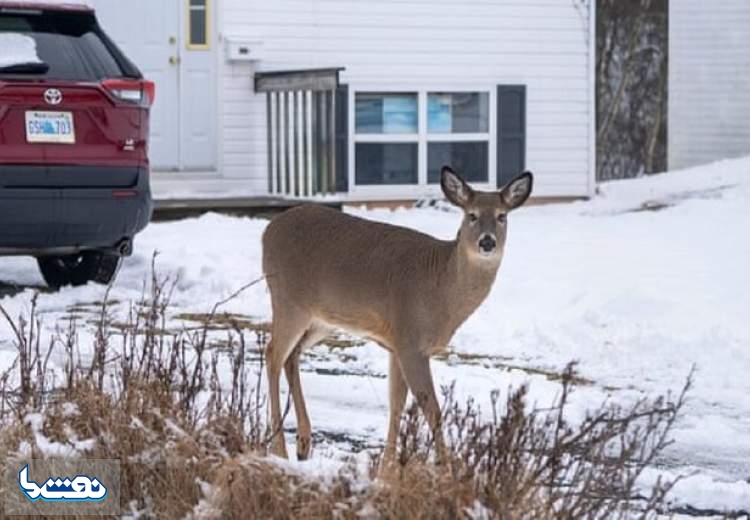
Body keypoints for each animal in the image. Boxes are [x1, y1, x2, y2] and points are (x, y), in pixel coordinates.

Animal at [264, 166, 536, 468]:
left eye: (502, 216)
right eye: (471, 215)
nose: (487, 242)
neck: (441, 289)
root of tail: (268, 230)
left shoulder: (397, 344)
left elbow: (396, 405)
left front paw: (387, 468)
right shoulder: (410, 340)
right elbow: (432, 409)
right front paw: (446, 468)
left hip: (321, 320)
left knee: (291, 355)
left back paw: (303, 443)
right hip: (288, 301)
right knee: (273, 354)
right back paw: (279, 448)